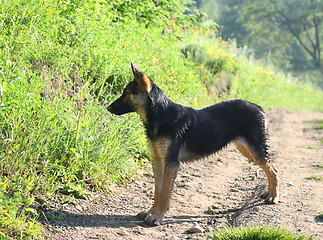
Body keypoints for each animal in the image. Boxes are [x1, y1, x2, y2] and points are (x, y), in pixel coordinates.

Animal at [107, 62, 280, 227]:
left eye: (127, 93)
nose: (108, 108)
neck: (160, 114)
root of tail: (259, 107)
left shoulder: (171, 162)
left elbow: (164, 193)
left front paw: (157, 217)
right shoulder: (157, 160)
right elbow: (158, 191)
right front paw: (151, 212)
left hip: (255, 150)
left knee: (273, 171)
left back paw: (272, 196)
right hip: (247, 150)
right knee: (271, 169)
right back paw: (268, 193)